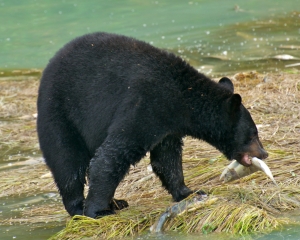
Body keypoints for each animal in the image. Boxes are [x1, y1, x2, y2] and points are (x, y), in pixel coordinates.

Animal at [36, 31, 268, 218]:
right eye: (253, 134)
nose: (264, 153)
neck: (182, 97)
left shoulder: (168, 127)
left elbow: (166, 159)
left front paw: (189, 192)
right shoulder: (146, 104)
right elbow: (112, 155)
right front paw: (97, 211)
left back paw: (117, 202)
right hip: (59, 115)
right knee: (68, 163)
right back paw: (79, 206)